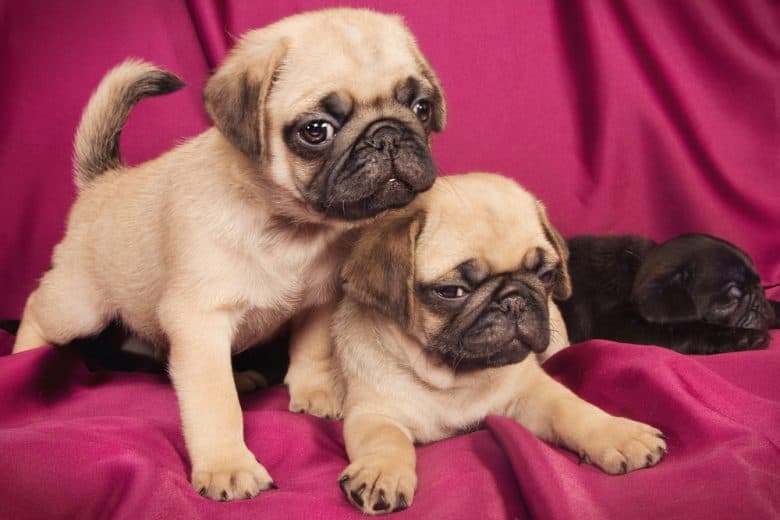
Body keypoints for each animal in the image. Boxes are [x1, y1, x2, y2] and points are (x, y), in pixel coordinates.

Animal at [12, 8, 444, 502]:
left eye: (421, 108)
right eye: (316, 131)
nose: (388, 136)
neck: (290, 228)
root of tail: (104, 181)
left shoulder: (318, 301)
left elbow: (312, 350)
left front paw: (315, 393)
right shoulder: (200, 319)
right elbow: (214, 403)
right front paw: (227, 465)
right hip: (81, 306)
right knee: (40, 310)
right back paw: (22, 360)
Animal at [332, 173, 668, 512]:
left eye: (546, 275)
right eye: (452, 291)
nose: (514, 300)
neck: (454, 377)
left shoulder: (534, 392)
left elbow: (574, 410)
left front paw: (618, 434)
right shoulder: (373, 413)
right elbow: (386, 440)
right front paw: (381, 471)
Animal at [556, 235, 776, 354]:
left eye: (760, 286)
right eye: (728, 302)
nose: (758, 304)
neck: (635, 271)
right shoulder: (620, 327)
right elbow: (688, 329)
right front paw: (745, 337)